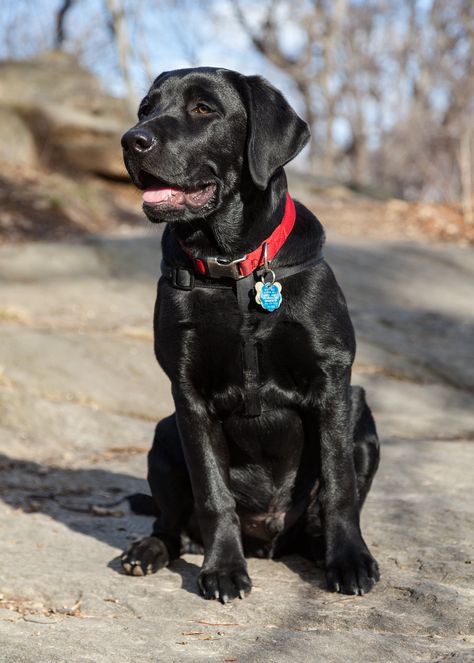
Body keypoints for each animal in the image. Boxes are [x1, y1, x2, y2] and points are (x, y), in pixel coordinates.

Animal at [120, 66, 380, 600]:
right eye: (145, 109)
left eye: (203, 109)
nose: (131, 140)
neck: (234, 268)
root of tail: (269, 539)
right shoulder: (188, 393)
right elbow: (212, 494)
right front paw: (222, 568)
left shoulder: (332, 379)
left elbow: (339, 485)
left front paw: (349, 560)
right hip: (164, 433)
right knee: (170, 525)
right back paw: (149, 550)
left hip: (362, 415)